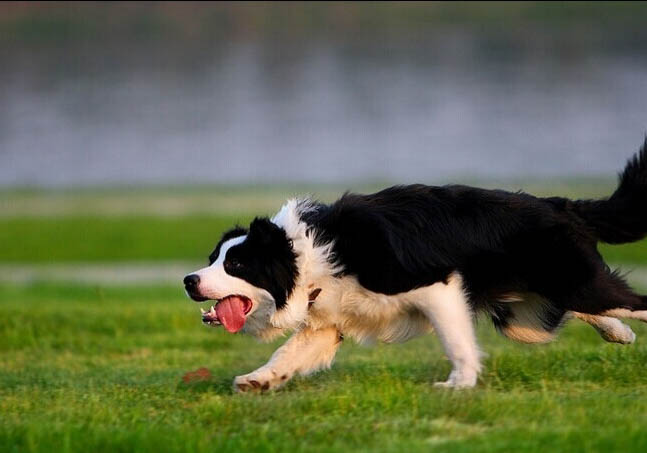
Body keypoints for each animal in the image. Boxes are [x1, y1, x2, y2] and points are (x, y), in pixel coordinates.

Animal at [182, 139, 647, 390]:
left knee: (631, 300)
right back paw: (618, 333)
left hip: (569, 283)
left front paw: (458, 386)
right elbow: (288, 353)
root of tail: (562, 205)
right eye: (213, 259)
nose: (188, 280)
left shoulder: (435, 284)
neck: (307, 255)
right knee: (579, 310)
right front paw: (256, 380)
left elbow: (456, 340)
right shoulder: (327, 321)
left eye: (237, 264)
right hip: (528, 316)